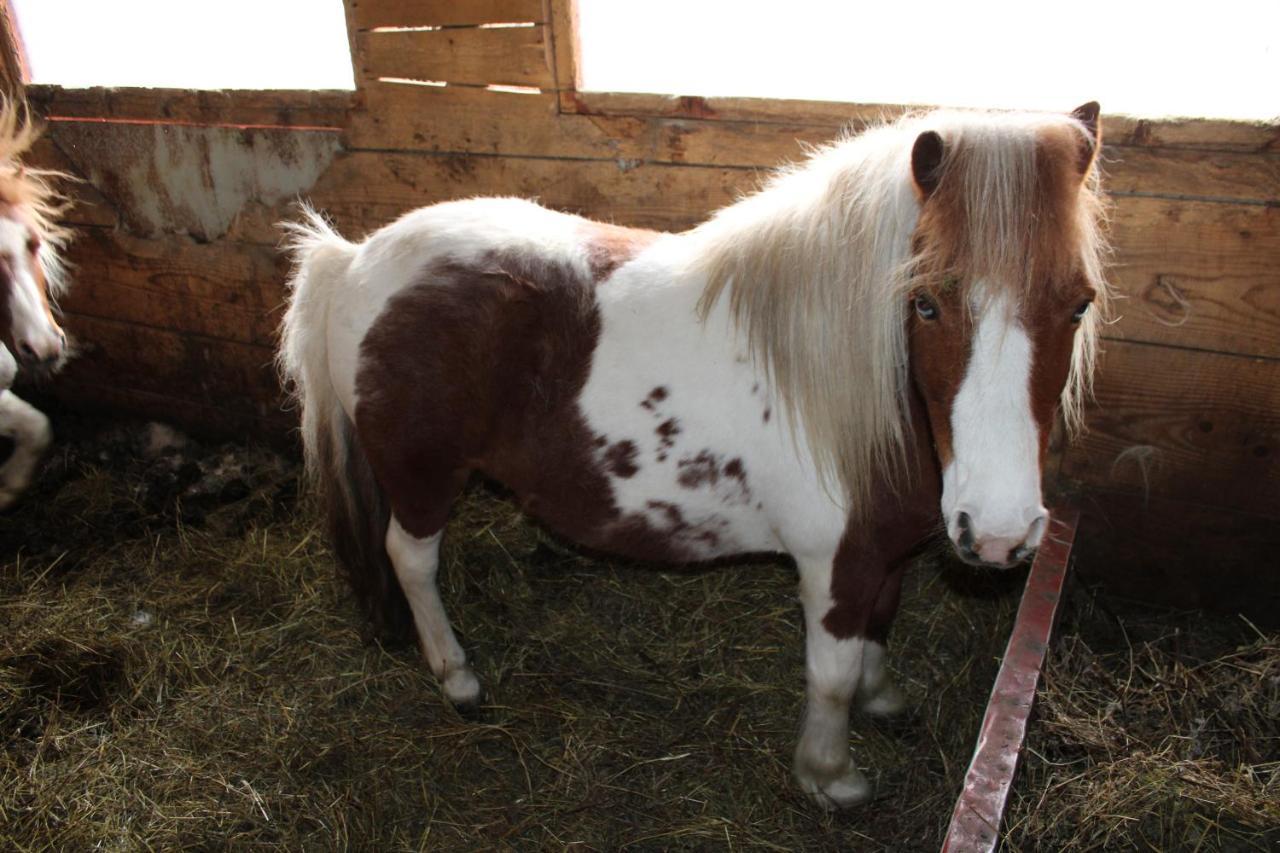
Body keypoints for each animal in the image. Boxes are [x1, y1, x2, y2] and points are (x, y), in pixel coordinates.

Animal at [280, 103, 1111, 809]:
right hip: (423, 477)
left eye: (1079, 303)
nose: (1000, 533)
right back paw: (456, 676)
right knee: (411, 559)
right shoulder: (833, 564)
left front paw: (883, 699)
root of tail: (354, 259)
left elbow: (881, 628)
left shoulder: (885, 552)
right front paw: (830, 774)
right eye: (926, 303)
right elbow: (832, 674)